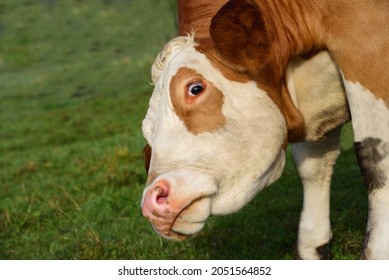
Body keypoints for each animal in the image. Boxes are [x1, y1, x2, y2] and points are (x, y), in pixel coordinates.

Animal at [139, 0, 384, 260]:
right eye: (147, 131)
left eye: (195, 88)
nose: (151, 203)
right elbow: (313, 166)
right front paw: (312, 246)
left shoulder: (364, 50)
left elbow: (373, 159)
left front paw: (378, 249)